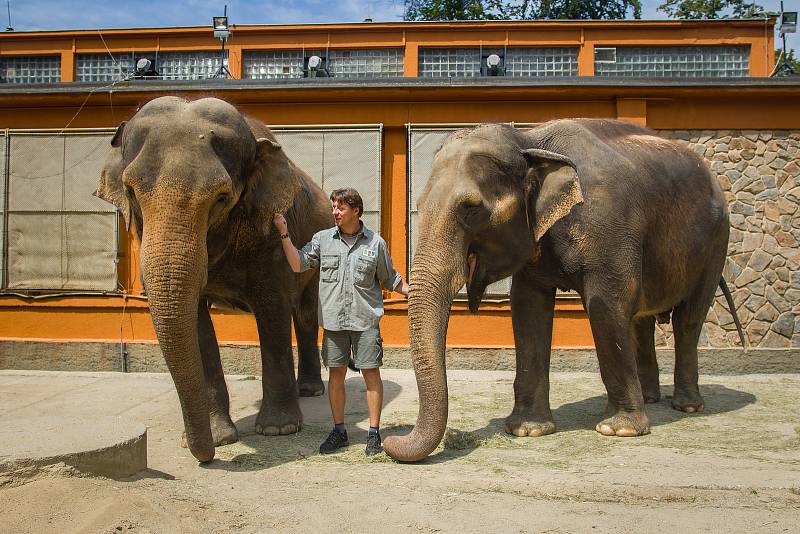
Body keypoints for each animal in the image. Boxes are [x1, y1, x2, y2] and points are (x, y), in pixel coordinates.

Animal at [95, 96, 332, 464]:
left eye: (222, 198)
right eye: (131, 193)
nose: (205, 459)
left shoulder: (270, 241)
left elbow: (273, 311)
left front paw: (278, 430)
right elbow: (195, 323)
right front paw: (221, 438)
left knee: (304, 314)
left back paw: (309, 390)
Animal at [384, 119, 748, 462]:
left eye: (471, 208)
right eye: (418, 204)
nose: (390, 441)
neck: (529, 141)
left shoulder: (608, 225)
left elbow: (604, 305)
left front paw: (619, 430)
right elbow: (528, 308)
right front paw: (528, 429)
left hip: (717, 241)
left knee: (688, 319)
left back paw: (686, 407)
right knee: (642, 322)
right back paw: (650, 399)